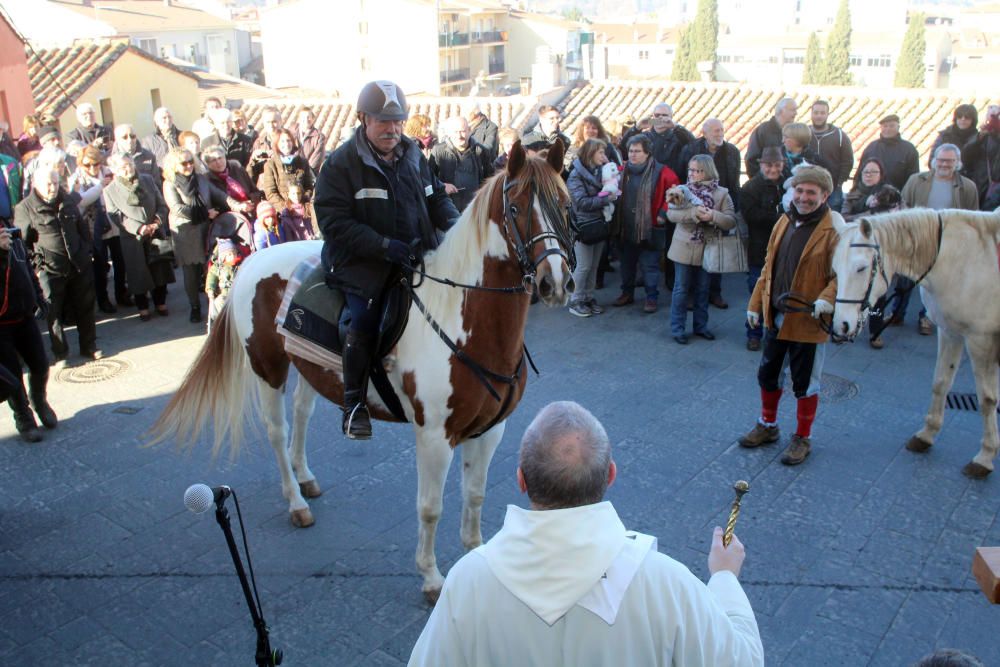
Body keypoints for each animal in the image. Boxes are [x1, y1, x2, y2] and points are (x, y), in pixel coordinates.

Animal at [148, 144, 572, 604]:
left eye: (565, 205)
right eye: (516, 208)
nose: (555, 282)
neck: (465, 319)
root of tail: (253, 261)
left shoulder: (490, 430)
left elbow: (474, 496)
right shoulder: (434, 436)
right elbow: (430, 508)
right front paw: (431, 578)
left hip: (311, 368)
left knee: (302, 414)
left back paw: (306, 477)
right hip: (268, 369)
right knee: (277, 431)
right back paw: (296, 502)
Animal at [832, 211, 1000, 478]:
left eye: (861, 268)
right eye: (835, 269)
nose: (842, 325)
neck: (962, 259)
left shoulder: (980, 339)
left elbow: (986, 399)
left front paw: (984, 456)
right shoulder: (950, 331)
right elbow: (941, 382)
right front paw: (927, 435)